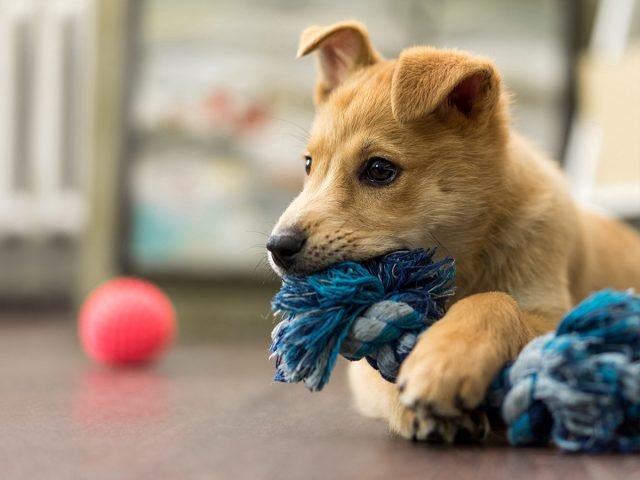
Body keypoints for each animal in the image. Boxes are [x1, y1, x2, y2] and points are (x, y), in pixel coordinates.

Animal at [264, 21, 640, 442]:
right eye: (308, 164)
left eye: (379, 170)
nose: (277, 247)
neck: (461, 260)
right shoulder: (362, 366)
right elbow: (382, 374)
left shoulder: (555, 314)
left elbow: (495, 301)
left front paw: (446, 358)